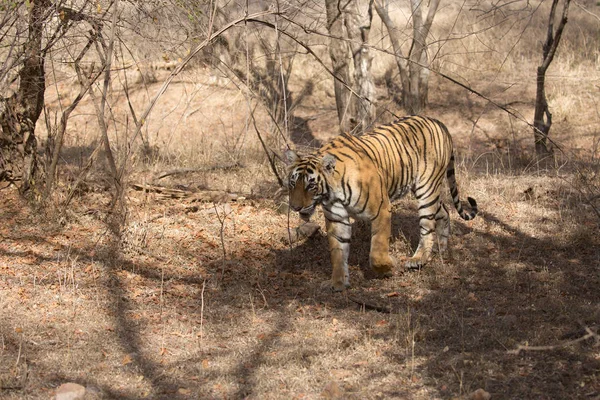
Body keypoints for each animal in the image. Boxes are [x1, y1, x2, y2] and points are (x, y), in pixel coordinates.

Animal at [286, 115, 478, 290]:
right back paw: (441, 247)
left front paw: (390, 268)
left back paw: (418, 259)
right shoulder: (336, 219)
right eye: (293, 183)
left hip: (427, 189)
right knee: (444, 211)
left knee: (427, 226)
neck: (332, 193)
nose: (295, 207)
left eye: (311, 185)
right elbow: (337, 253)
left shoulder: (381, 209)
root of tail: (438, 122)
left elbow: (377, 251)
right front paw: (338, 283)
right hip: (427, 193)